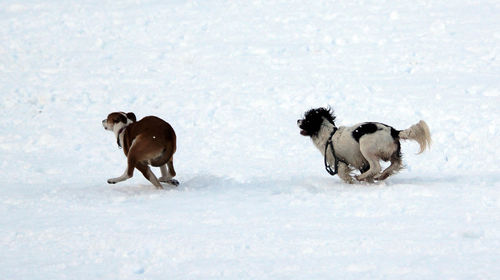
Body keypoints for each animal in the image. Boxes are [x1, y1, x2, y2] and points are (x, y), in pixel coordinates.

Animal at [296, 107, 430, 184]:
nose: (297, 120)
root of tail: (393, 131)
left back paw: (361, 177)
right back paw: (382, 176)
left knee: (376, 167)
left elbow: (343, 174)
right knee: (395, 164)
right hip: (392, 153)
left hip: (365, 146)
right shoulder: (361, 162)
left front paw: (352, 182)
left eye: (306, 119)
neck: (329, 135)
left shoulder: (338, 161)